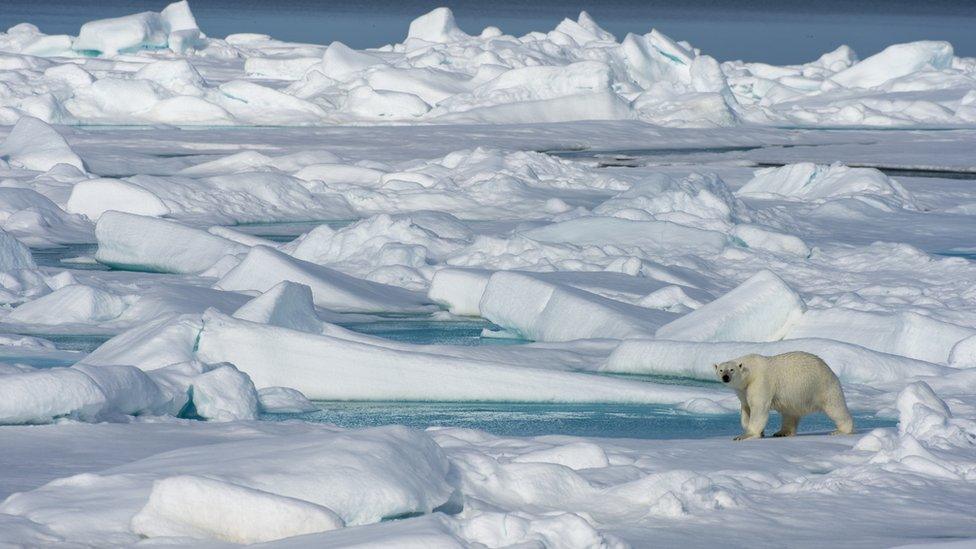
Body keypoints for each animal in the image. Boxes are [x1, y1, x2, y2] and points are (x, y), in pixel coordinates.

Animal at [712, 352, 852, 440]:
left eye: (731, 370)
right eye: (721, 370)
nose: (725, 377)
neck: (750, 372)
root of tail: (830, 370)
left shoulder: (760, 383)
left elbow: (758, 408)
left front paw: (744, 436)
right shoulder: (742, 390)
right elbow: (746, 408)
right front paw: (759, 432)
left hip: (822, 387)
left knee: (835, 408)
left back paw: (840, 430)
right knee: (790, 414)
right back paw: (782, 432)